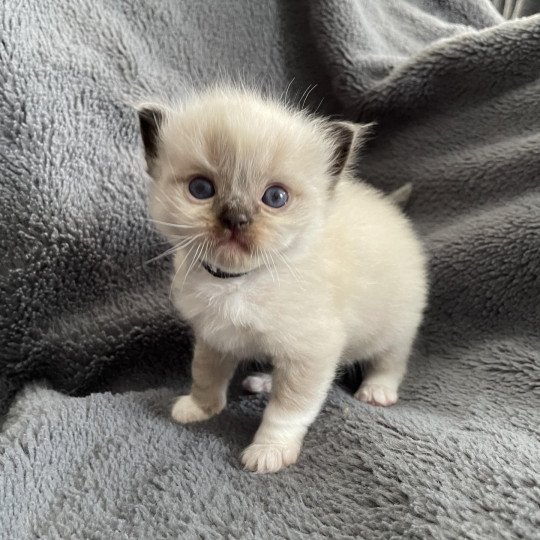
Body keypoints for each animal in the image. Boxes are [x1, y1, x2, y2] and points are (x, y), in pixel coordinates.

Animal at [137, 85, 428, 472]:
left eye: (275, 197)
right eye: (201, 189)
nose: (236, 218)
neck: (238, 282)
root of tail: (390, 208)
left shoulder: (311, 351)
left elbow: (287, 409)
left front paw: (269, 452)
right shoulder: (215, 335)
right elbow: (205, 373)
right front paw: (199, 408)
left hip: (395, 325)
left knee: (391, 359)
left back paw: (377, 391)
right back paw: (262, 382)